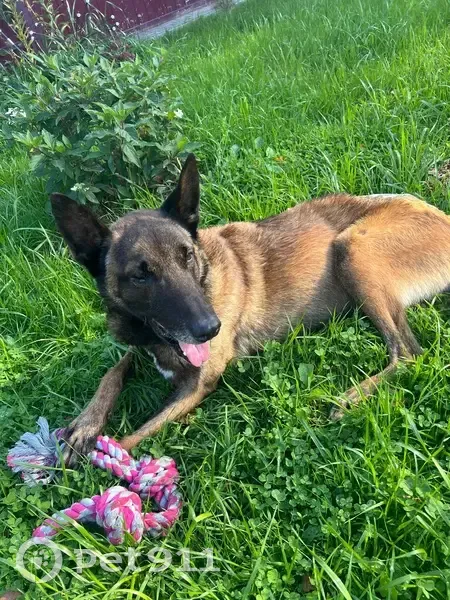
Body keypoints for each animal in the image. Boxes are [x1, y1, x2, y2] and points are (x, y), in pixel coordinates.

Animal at [51, 154, 450, 463]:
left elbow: (126, 441)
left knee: (408, 352)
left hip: (352, 248)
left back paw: (350, 398)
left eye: (187, 256)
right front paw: (85, 425)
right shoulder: (140, 346)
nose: (210, 328)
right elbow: (113, 370)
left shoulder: (198, 384)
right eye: (140, 275)